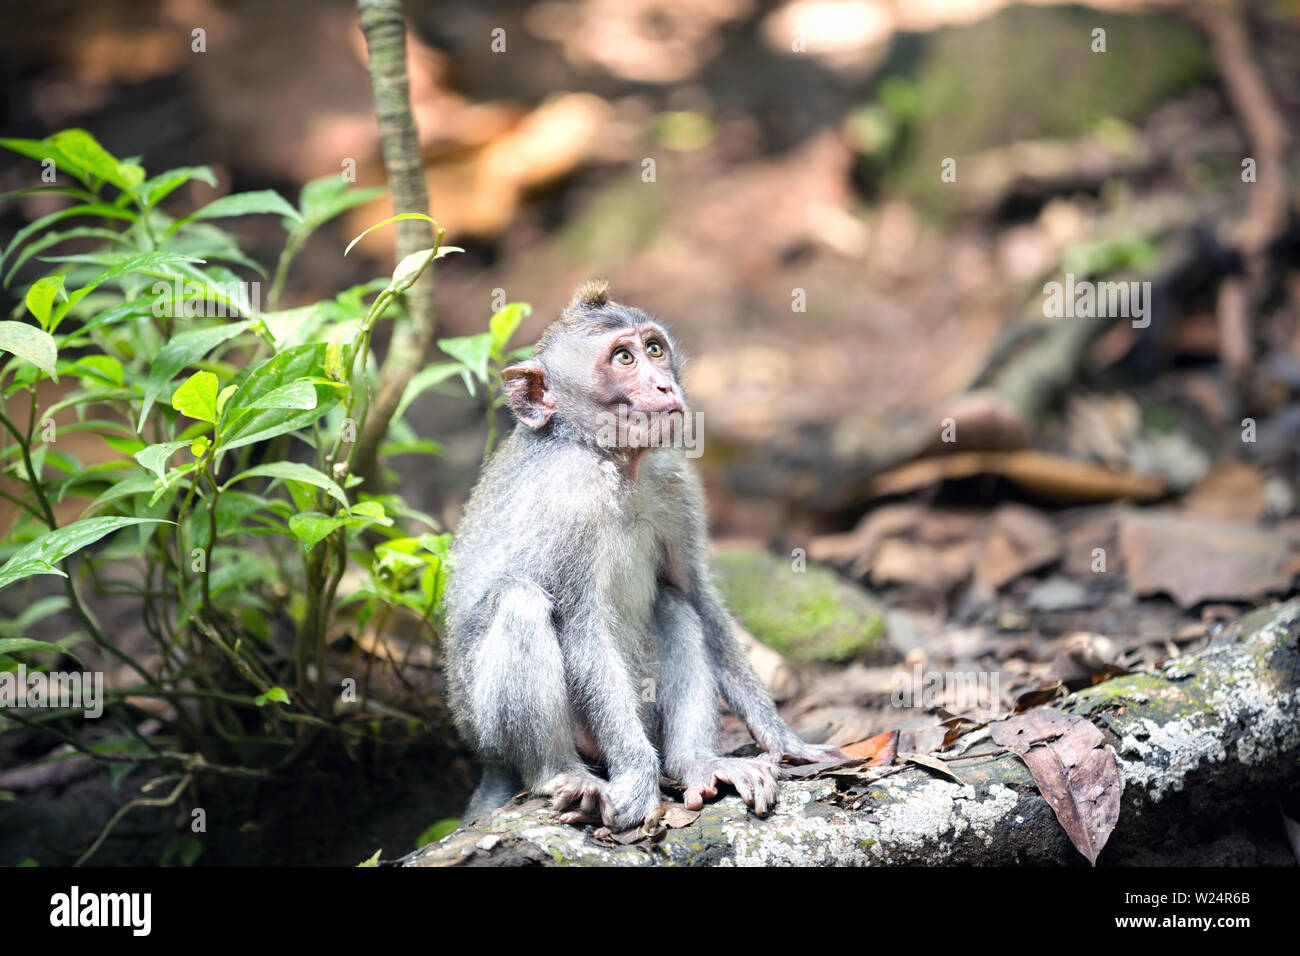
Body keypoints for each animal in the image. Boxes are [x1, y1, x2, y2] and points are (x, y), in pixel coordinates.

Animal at [441, 280, 842, 832]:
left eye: (654, 349)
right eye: (623, 358)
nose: (665, 387)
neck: (611, 462)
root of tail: (486, 764)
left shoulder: (671, 480)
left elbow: (697, 595)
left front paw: (782, 738)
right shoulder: (569, 504)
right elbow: (583, 628)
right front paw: (635, 783)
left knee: (674, 604)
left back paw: (696, 762)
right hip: (491, 732)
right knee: (517, 602)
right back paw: (560, 774)